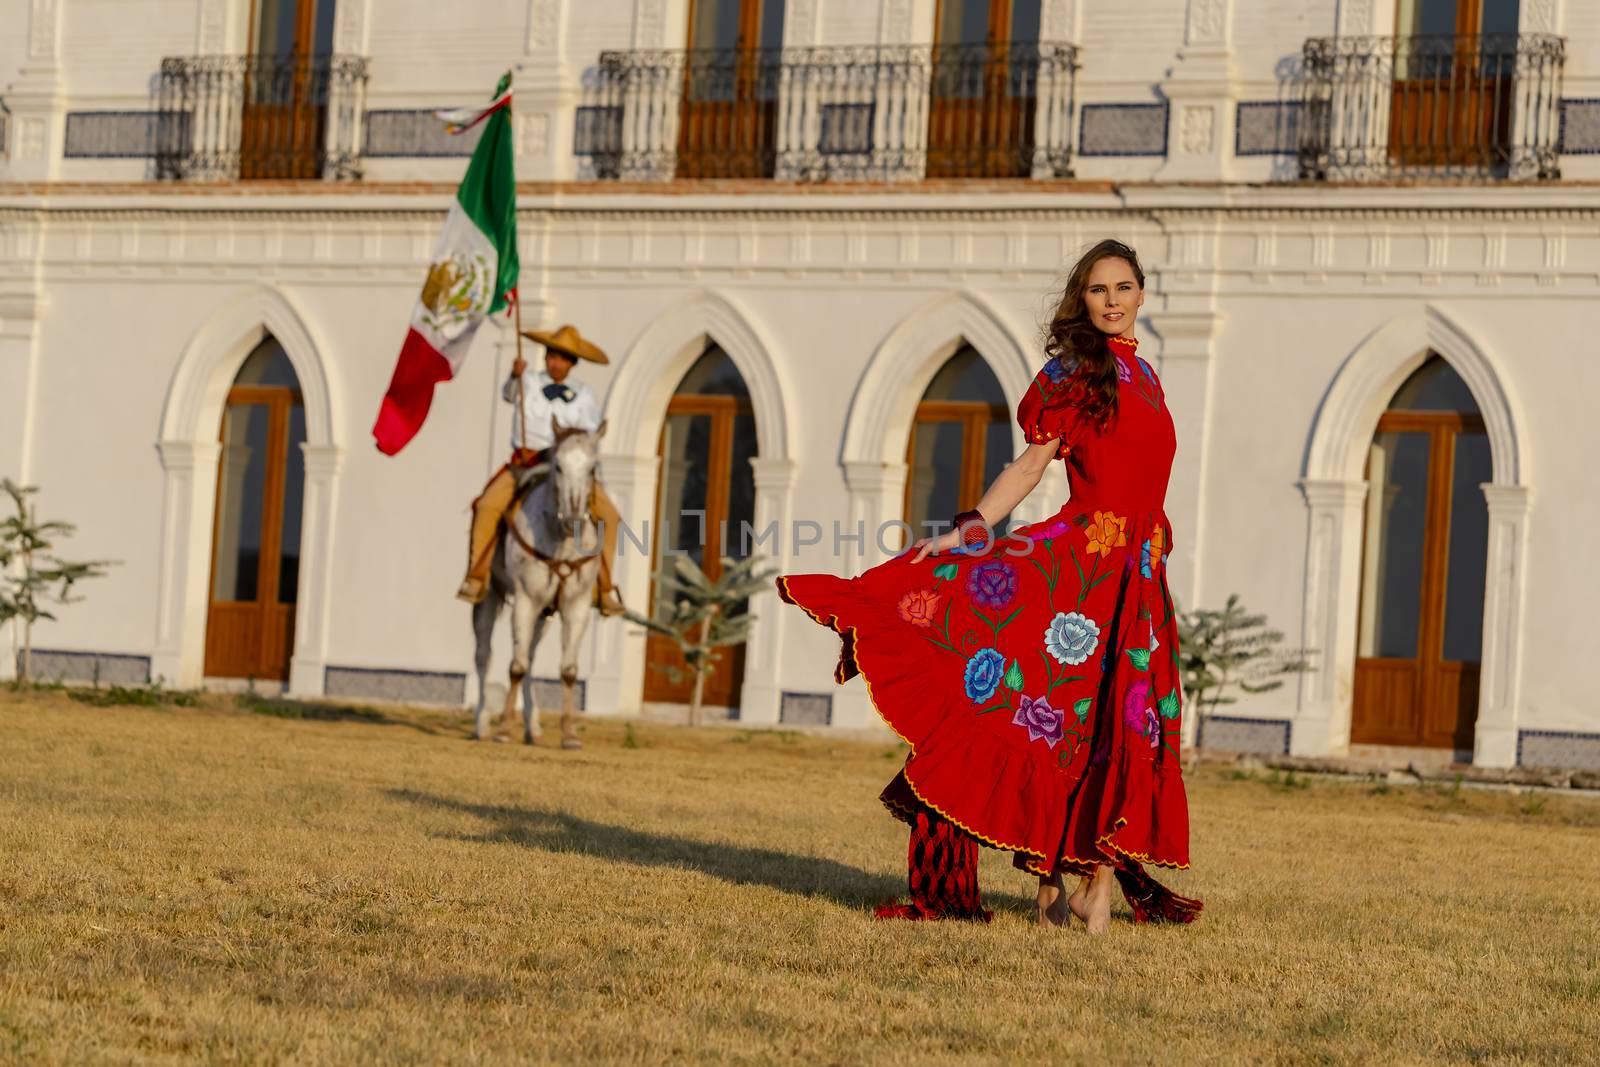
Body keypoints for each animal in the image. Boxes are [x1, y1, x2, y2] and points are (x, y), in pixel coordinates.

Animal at [473, 419, 604, 751]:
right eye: (558, 466)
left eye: (592, 468)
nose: (573, 518)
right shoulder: (524, 599)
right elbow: (515, 666)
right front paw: (503, 730)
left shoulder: (576, 605)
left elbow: (567, 670)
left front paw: (569, 734)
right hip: (487, 597)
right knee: (484, 656)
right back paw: (481, 724)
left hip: (544, 613)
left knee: (530, 658)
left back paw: (533, 727)